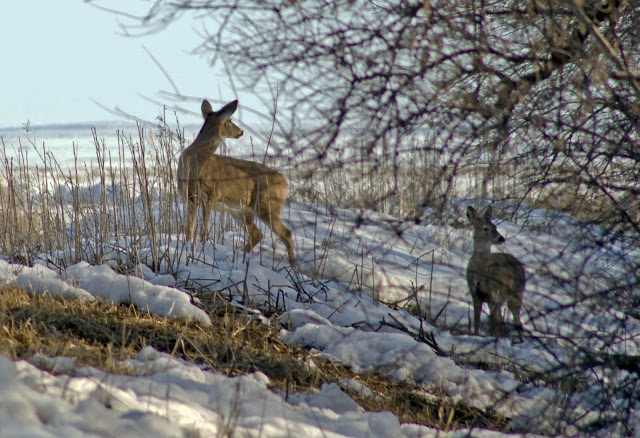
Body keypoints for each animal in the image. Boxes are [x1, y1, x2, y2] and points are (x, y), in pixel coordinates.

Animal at [178, 99, 298, 266]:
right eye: (229, 120)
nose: (241, 132)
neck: (197, 159)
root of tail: (285, 183)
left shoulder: (209, 194)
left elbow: (203, 229)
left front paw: (199, 248)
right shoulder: (189, 197)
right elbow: (189, 228)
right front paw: (188, 245)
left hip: (268, 205)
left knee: (286, 233)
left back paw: (294, 267)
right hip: (241, 211)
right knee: (257, 234)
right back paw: (242, 256)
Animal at [464, 205, 524, 336]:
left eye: (495, 227)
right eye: (485, 228)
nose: (501, 238)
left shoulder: (493, 293)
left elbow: (495, 319)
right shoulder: (475, 293)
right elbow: (477, 319)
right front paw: (476, 334)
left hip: (516, 292)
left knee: (516, 320)